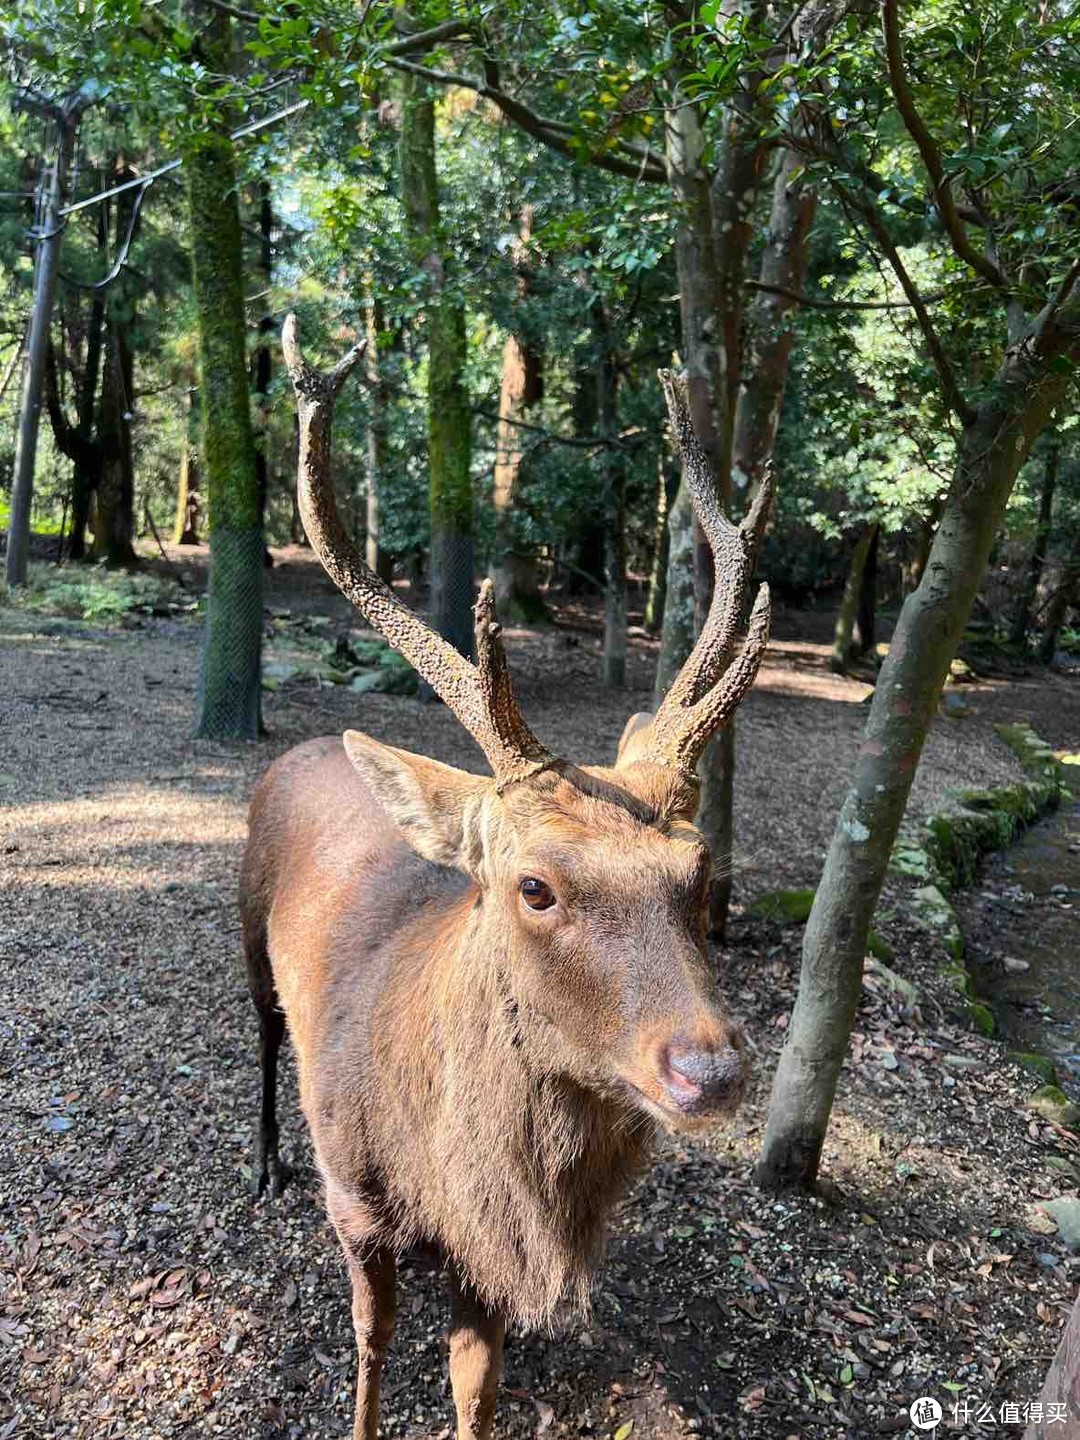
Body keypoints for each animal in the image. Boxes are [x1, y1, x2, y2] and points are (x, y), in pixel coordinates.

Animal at [240, 315, 771, 1440]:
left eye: (701, 869)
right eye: (534, 886)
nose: (708, 1072)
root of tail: (297, 750)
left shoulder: (486, 1261)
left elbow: (474, 1385)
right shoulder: (355, 1201)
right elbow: (371, 1347)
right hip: (248, 940)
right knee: (261, 1042)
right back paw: (263, 1162)